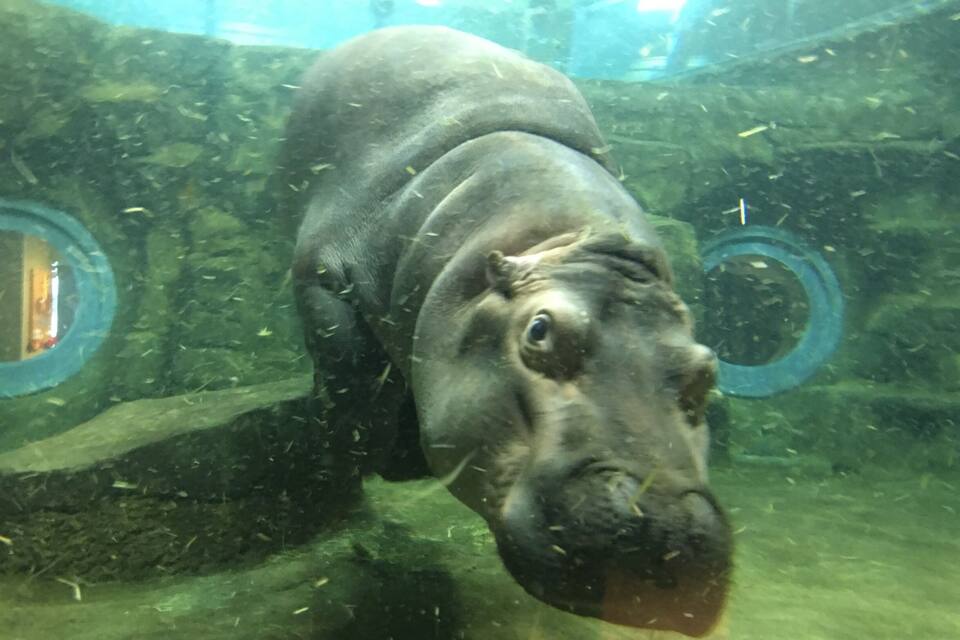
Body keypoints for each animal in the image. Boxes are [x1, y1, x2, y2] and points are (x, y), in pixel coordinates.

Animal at [275, 26, 732, 637]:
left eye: (706, 371)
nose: (669, 530)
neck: (562, 239)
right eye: (539, 331)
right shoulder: (321, 273)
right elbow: (354, 375)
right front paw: (369, 457)